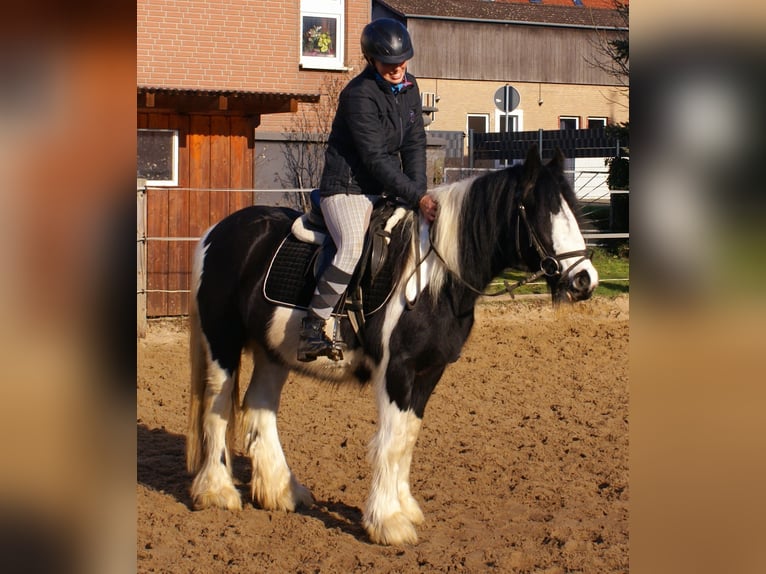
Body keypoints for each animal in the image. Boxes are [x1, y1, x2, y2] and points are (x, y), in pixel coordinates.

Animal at [186, 146, 600, 548]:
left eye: (573, 210)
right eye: (542, 214)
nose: (585, 280)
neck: (436, 277)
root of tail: (217, 232)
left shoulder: (429, 371)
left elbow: (407, 437)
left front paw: (405, 508)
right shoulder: (397, 370)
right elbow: (390, 441)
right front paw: (387, 522)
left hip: (273, 351)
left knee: (260, 408)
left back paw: (281, 491)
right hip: (221, 342)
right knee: (218, 408)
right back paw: (218, 492)